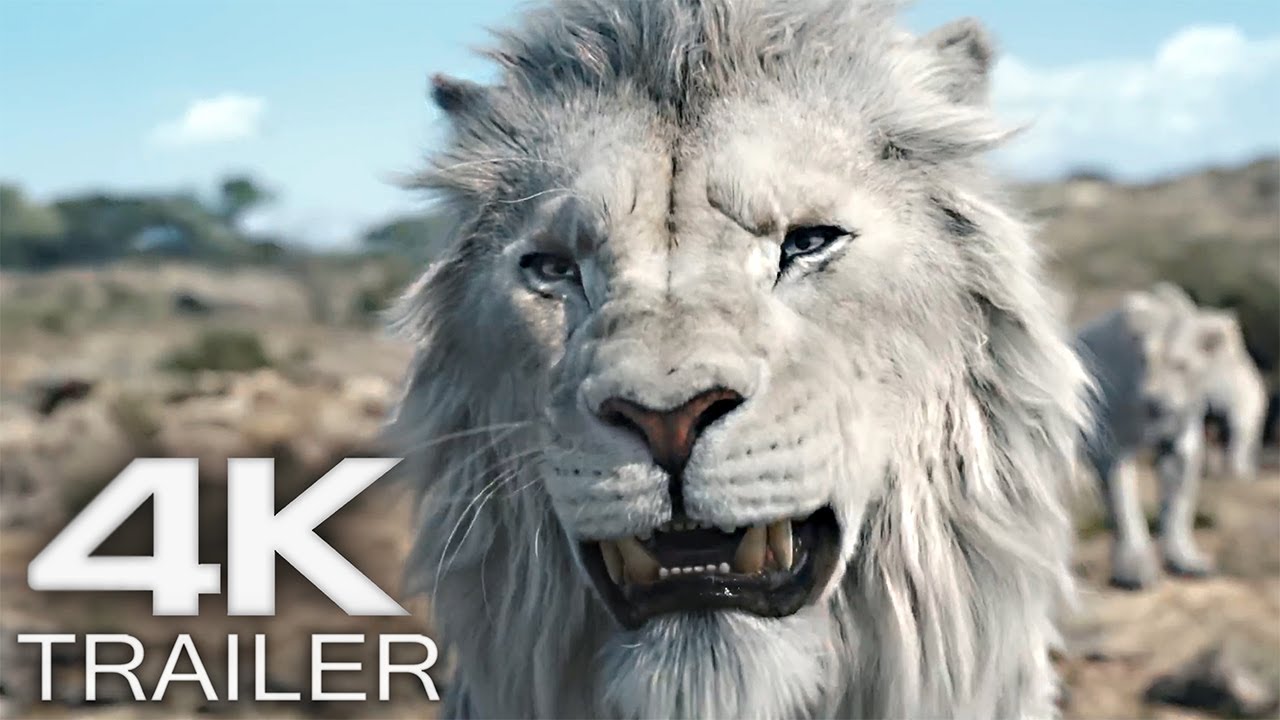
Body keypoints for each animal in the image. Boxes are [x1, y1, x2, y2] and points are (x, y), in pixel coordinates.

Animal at [1075, 283, 1229, 590]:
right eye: (1146, 360)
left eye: (1180, 365)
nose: (1152, 400)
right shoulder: (1111, 449)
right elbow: (1124, 506)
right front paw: (1135, 571)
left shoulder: (1179, 444)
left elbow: (1179, 505)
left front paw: (1185, 560)